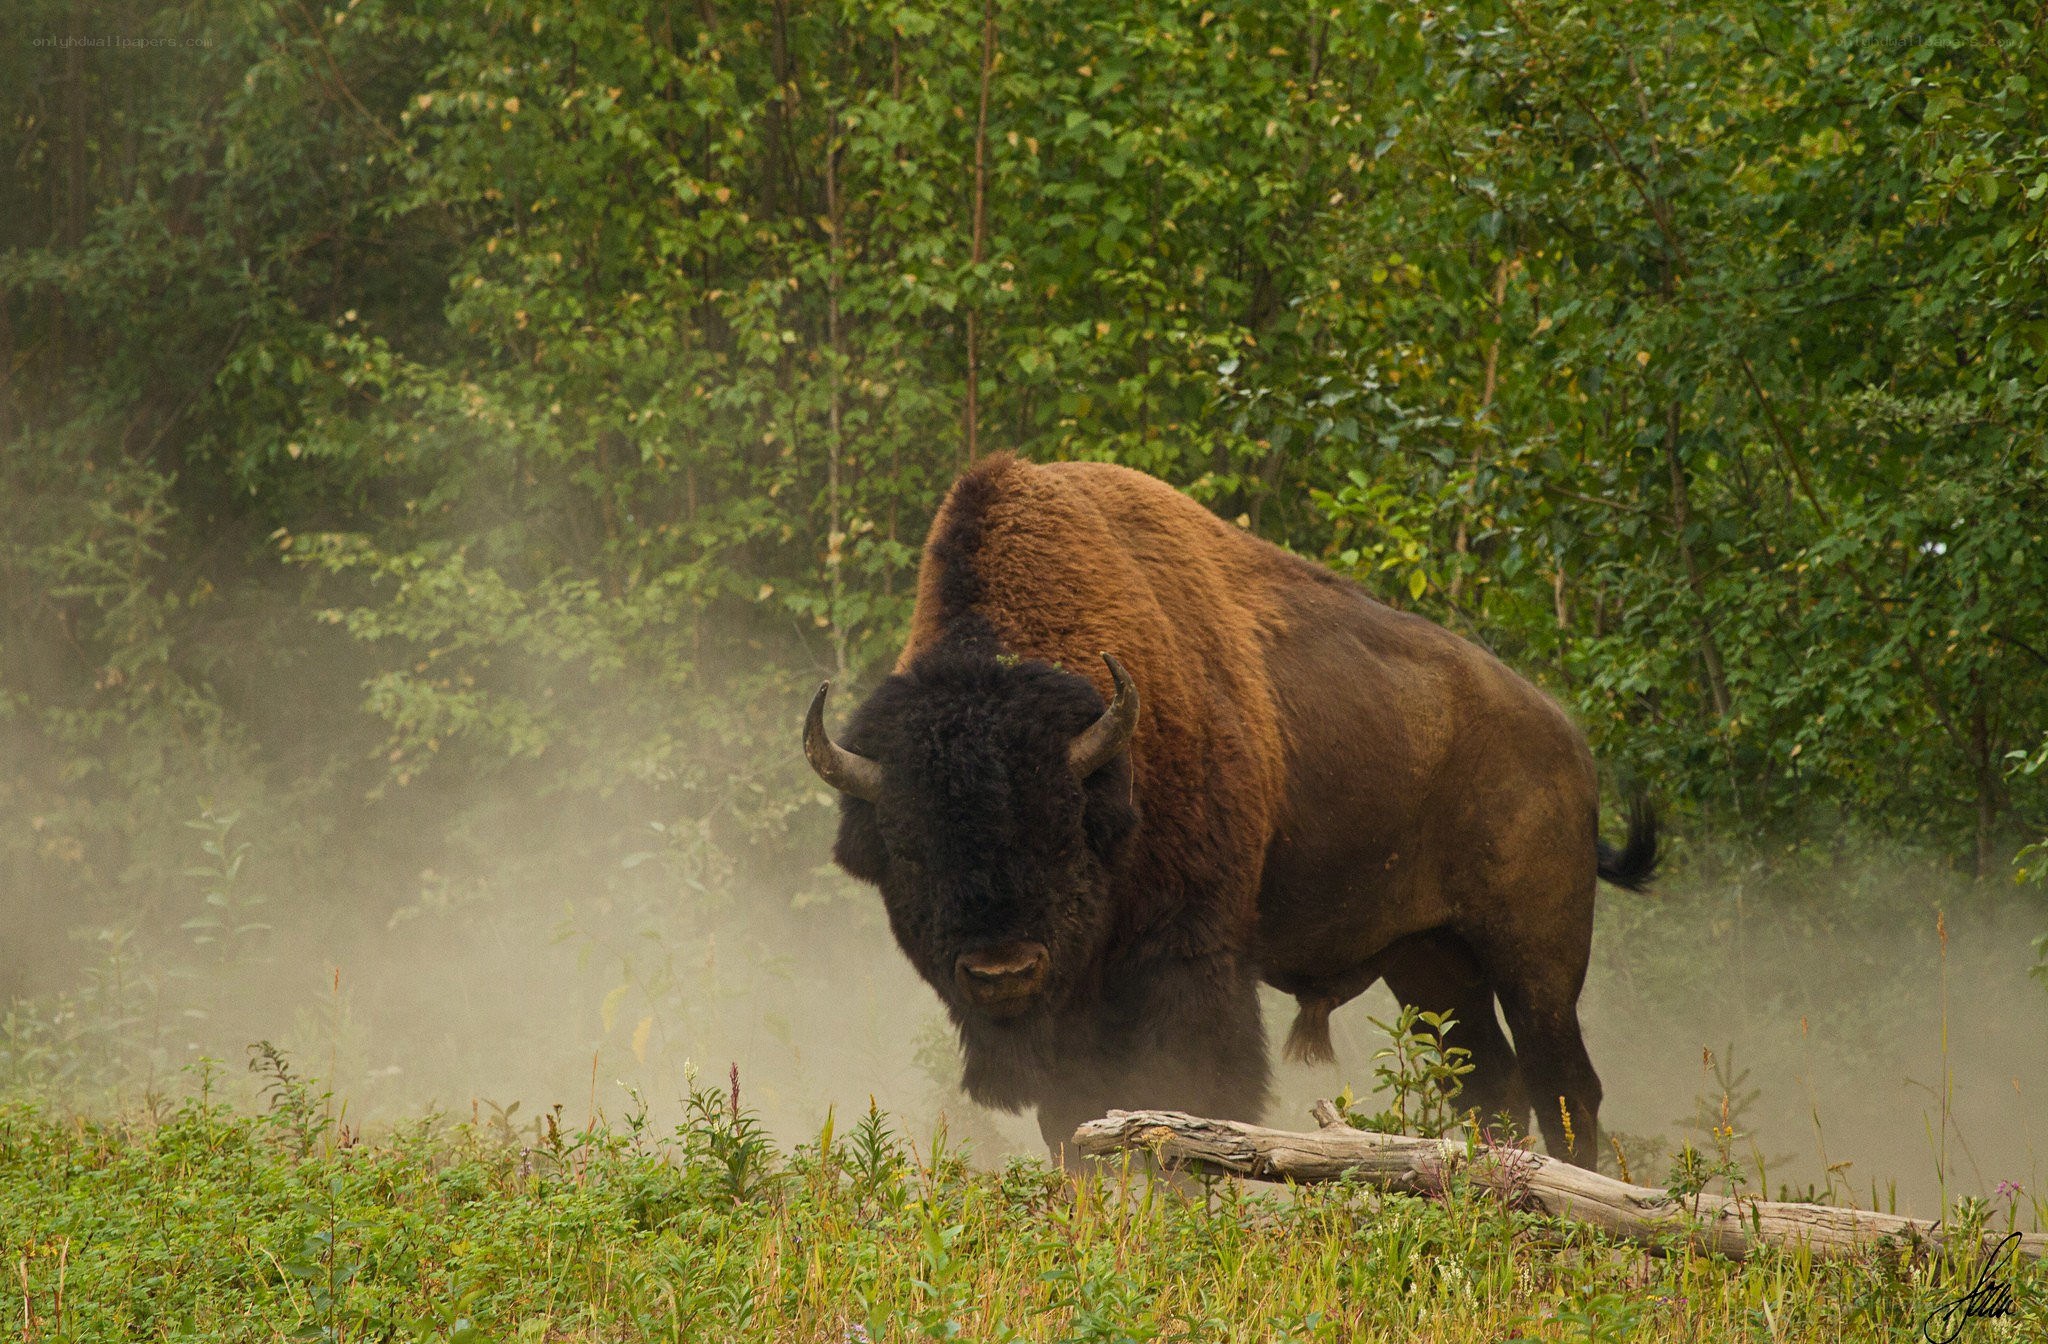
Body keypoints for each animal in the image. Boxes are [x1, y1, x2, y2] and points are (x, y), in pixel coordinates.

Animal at [805, 454, 1656, 1166]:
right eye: (911, 850)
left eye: (1062, 831)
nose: (1001, 970)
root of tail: (1567, 744)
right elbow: (1073, 1118)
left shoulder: (1188, 955)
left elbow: (1187, 1094)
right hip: (1428, 962)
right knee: (1490, 1082)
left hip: (1535, 955)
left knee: (1564, 1082)